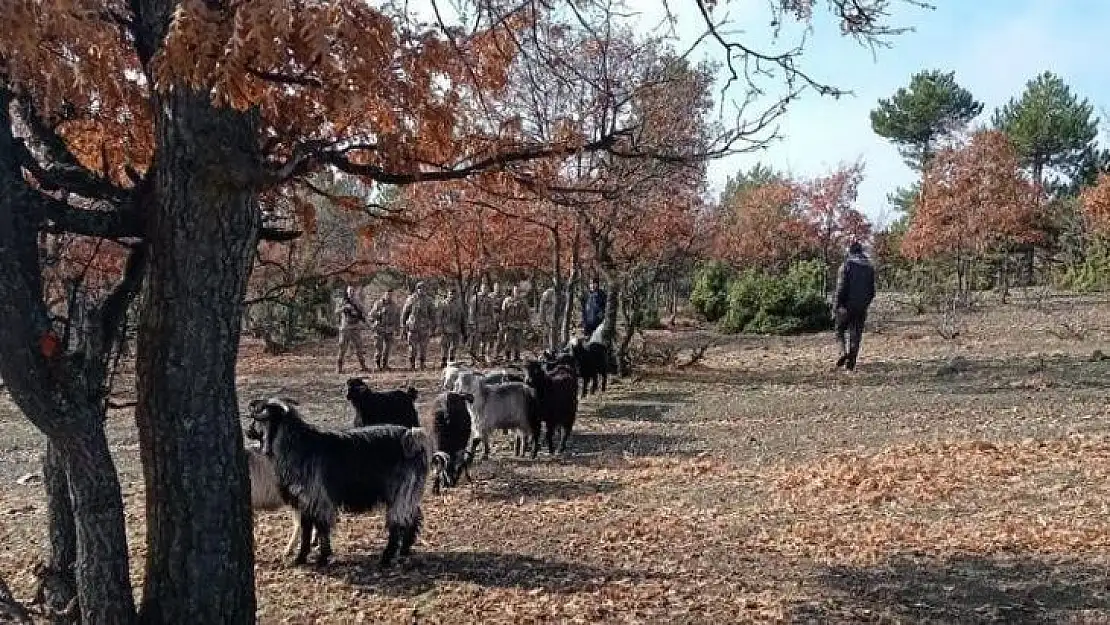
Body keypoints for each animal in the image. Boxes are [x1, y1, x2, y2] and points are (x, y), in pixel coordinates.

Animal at [248, 399, 428, 568]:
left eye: (257, 418)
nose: (248, 431)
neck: (297, 445)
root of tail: (412, 437)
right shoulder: (304, 502)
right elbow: (306, 531)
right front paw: (301, 558)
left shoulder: (318, 499)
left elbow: (321, 529)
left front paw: (321, 558)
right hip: (408, 493)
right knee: (411, 517)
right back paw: (404, 550)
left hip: (401, 490)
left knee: (397, 523)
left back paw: (387, 556)